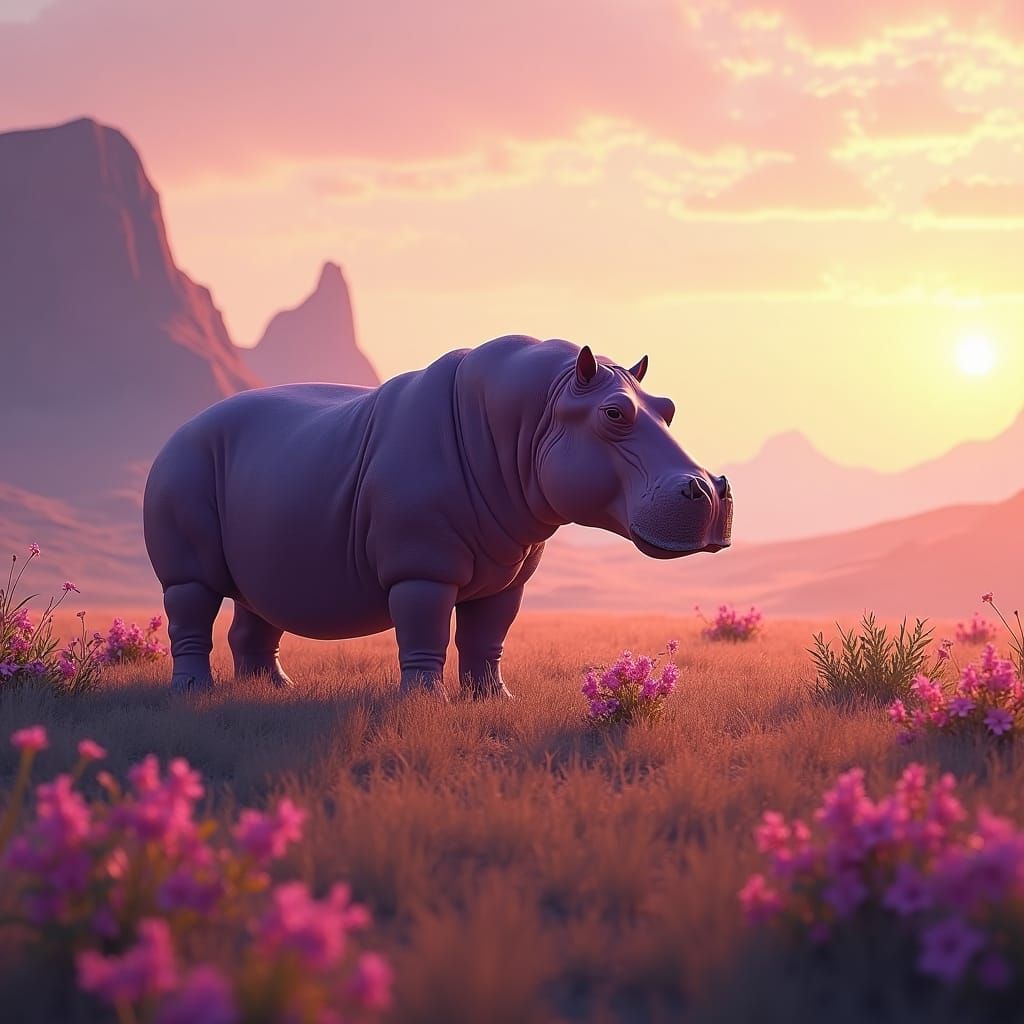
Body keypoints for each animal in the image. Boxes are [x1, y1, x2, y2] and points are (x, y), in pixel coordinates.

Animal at [143, 335, 732, 696]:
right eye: (614, 414)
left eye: (668, 408)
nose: (711, 489)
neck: (540, 410)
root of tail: (179, 428)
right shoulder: (421, 566)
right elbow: (425, 628)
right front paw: (426, 702)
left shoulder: (509, 569)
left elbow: (488, 635)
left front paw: (493, 699)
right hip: (184, 467)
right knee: (191, 596)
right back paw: (195, 691)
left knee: (261, 599)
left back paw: (274, 689)